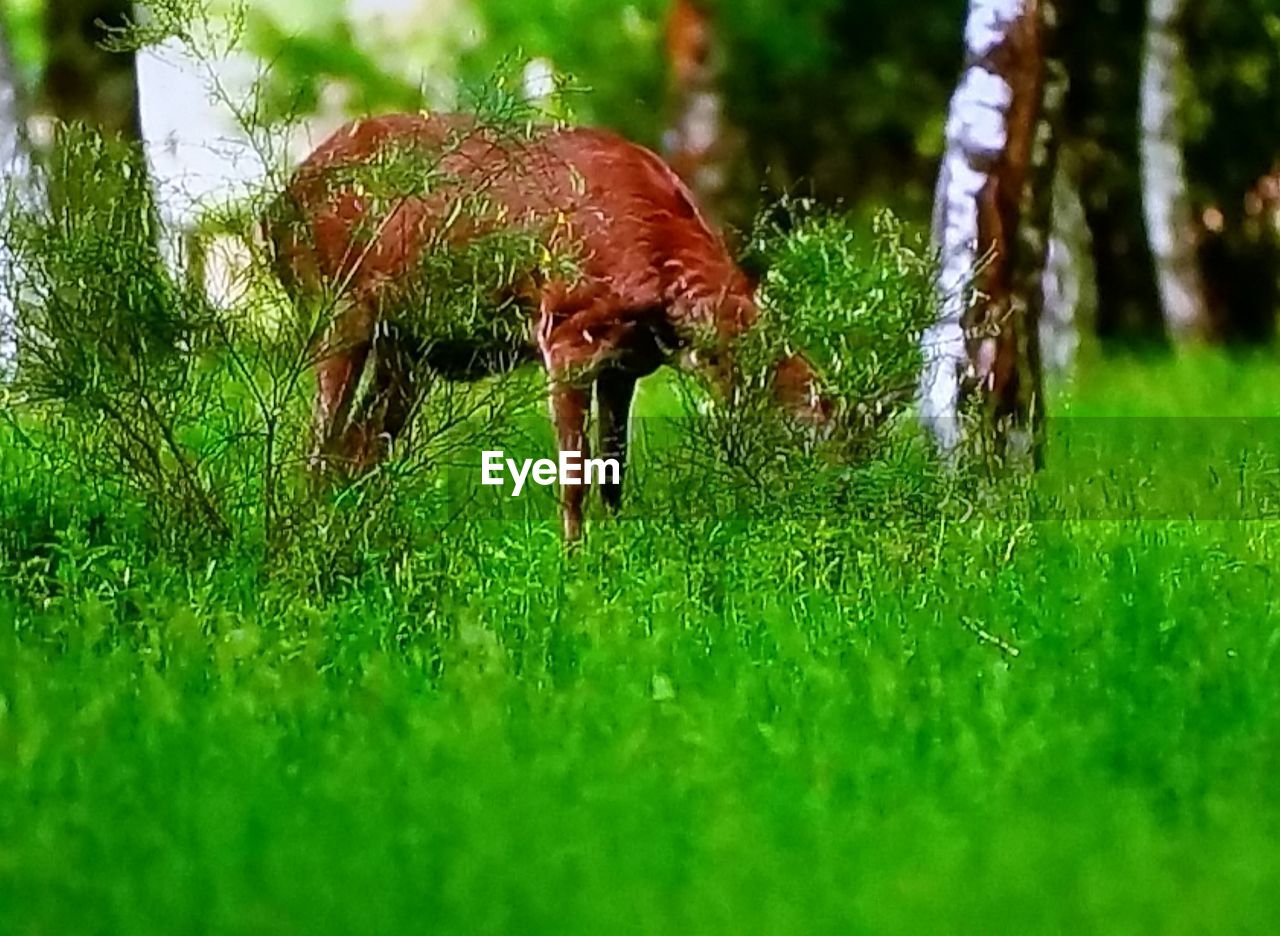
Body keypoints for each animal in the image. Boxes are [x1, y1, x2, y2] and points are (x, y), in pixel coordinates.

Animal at [268, 113, 829, 542]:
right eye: (801, 427)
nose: (821, 503)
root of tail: (275, 210)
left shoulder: (627, 364)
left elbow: (614, 471)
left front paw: (617, 547)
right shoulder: (566, 332)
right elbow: (574, 474)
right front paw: (573, 559)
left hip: (406, 349)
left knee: (358, 446)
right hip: (339, 306)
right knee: (320, 443)